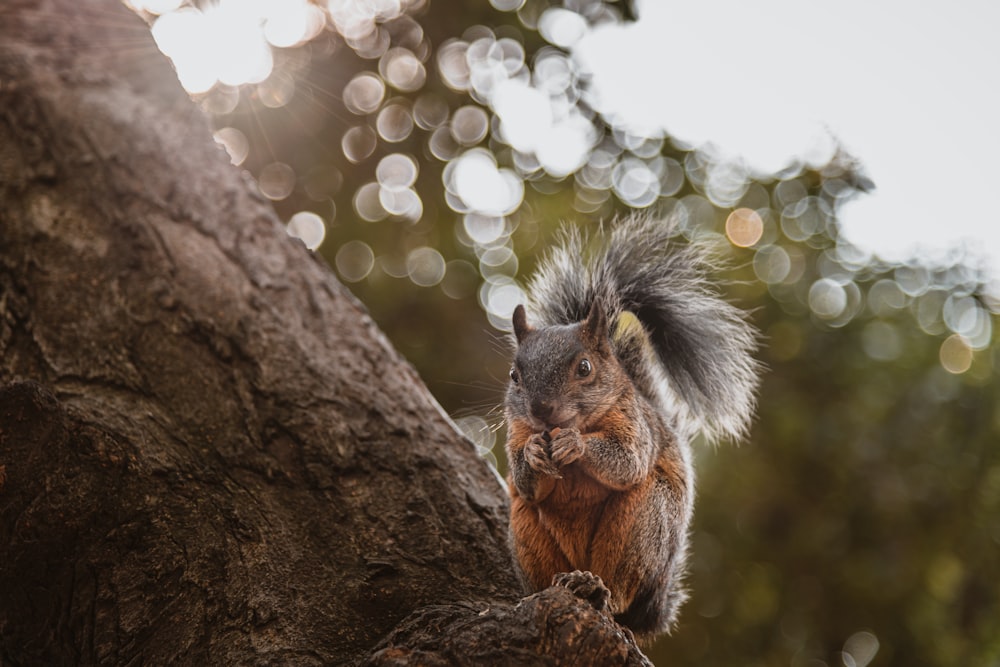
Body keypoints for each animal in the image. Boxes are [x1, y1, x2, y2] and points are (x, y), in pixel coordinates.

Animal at [504, 214, 760, 636]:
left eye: (584, 368)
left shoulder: (635, 425)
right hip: (526, 531)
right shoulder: (516, 433)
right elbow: (526, 484)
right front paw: (535, 452)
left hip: (643, 527)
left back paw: (598, 589)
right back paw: (547, 590)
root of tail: (653, 609)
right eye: (514, 375)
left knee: (620, 586)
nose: (541, 410)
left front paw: (575, 444)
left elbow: (627, 463)